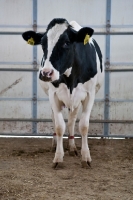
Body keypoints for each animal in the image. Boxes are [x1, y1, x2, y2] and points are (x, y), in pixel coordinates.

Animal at [22, 18, 104, 169]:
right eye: (43, 44)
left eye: (66, 43)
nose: (46, 73)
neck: (70, 78)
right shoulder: (53, 95)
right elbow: (60, 126)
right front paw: (58, 158)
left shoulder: (90, 94)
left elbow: (83, 126)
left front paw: (86, 157)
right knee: (55, 119)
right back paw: (55, 144)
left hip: (76, 101)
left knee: (72, 121)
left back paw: (72, 147)